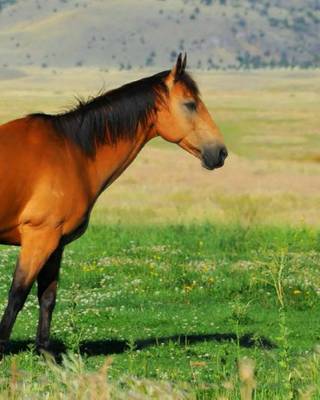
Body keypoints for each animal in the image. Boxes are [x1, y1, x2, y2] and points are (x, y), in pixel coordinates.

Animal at [0, 54, 228, 356]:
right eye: (190, 104)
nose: (220, 152)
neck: (70, 151)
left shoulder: (54, 243)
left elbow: (47, 297)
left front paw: (45, 352)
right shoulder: (39, 237)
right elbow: (17, 295)